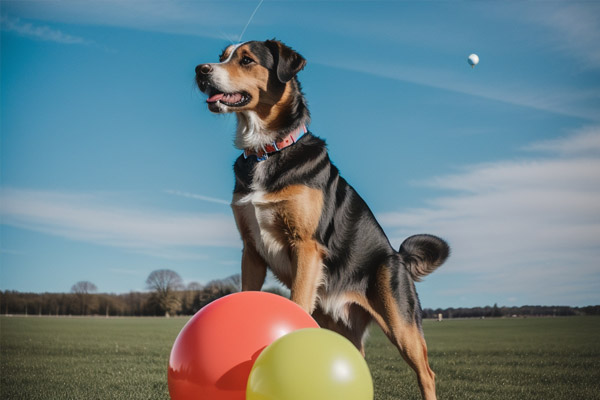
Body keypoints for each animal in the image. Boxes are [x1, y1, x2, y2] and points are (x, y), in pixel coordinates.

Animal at [197, 38, 450, 400]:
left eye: (246, 60)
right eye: (222, 56)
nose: (200, 71)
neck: (267, 150)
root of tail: (398, 257)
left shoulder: (305, 246)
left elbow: (298, 302)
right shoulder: (251, 250)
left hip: (402, 324)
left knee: (427, 373)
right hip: (344, 330)